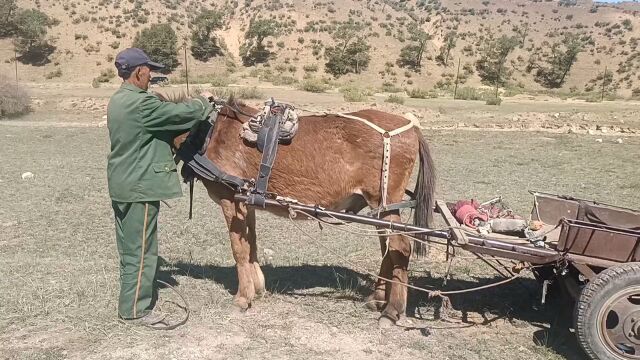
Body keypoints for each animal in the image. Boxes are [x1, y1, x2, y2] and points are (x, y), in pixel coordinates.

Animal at [172, 97, 438, 324]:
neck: (210, 133)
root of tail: (411, 127)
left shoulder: (231, 201)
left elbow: (238, 249)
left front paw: (242, 298)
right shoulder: (246, 202)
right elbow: (251, 244)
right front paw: (257, 288)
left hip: (385, 203)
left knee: (400, 248)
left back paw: (392, 310)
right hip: (382, 209)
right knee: (388, 248)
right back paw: (378, 299)